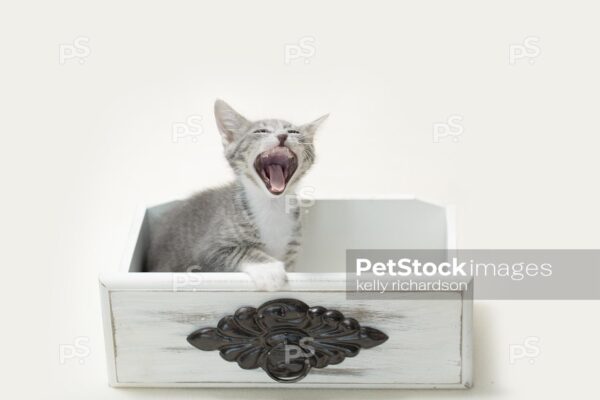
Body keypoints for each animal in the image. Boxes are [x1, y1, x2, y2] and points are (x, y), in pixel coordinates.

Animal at [146, 98, 328, 290]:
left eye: (293, 131)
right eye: (260, 131)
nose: (282, 136)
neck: (271, 205)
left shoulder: (292, 252)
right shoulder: (206, 250)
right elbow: (241, 250)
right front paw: (269, 269)